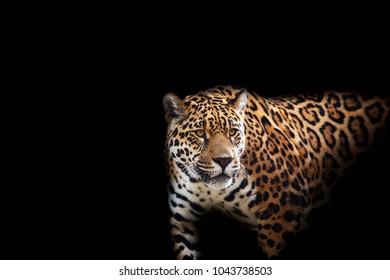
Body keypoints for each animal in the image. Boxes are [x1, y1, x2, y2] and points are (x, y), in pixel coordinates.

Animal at [161, 84, 390, 260]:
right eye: (200, 133)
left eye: (232, 132)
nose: (224, 160)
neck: (208, 187)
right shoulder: (184, 221)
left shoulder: (283, 206)